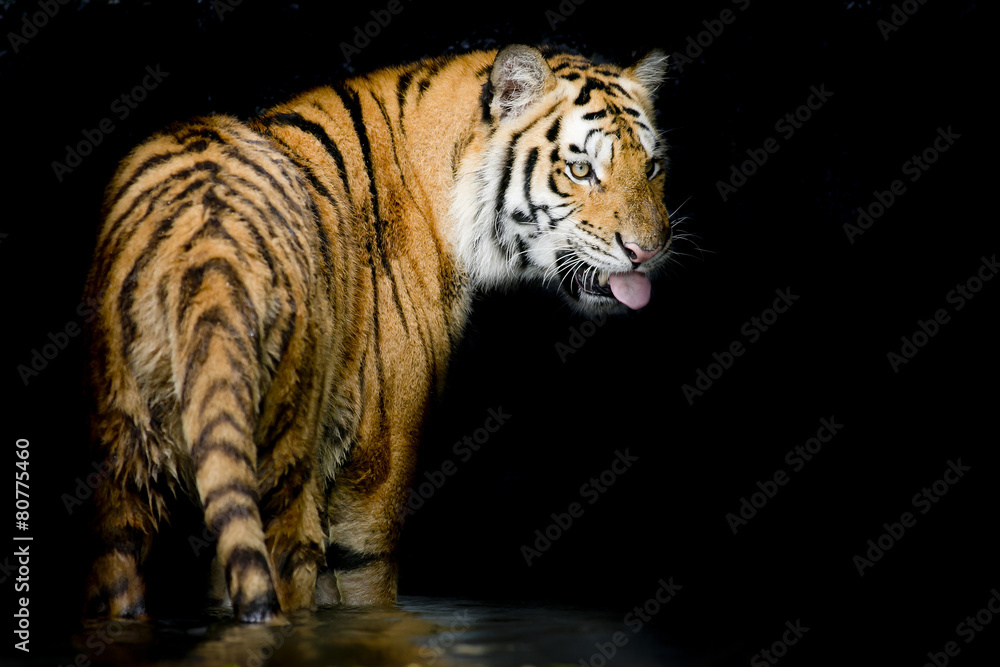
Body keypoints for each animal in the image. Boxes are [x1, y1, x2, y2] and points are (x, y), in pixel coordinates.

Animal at [83, 44, 673, 622]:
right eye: (581, 168)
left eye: (653, 166)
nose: (647, 251)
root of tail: (206, 243)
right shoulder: (377, 469)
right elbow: (368, 582)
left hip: (125, 463)